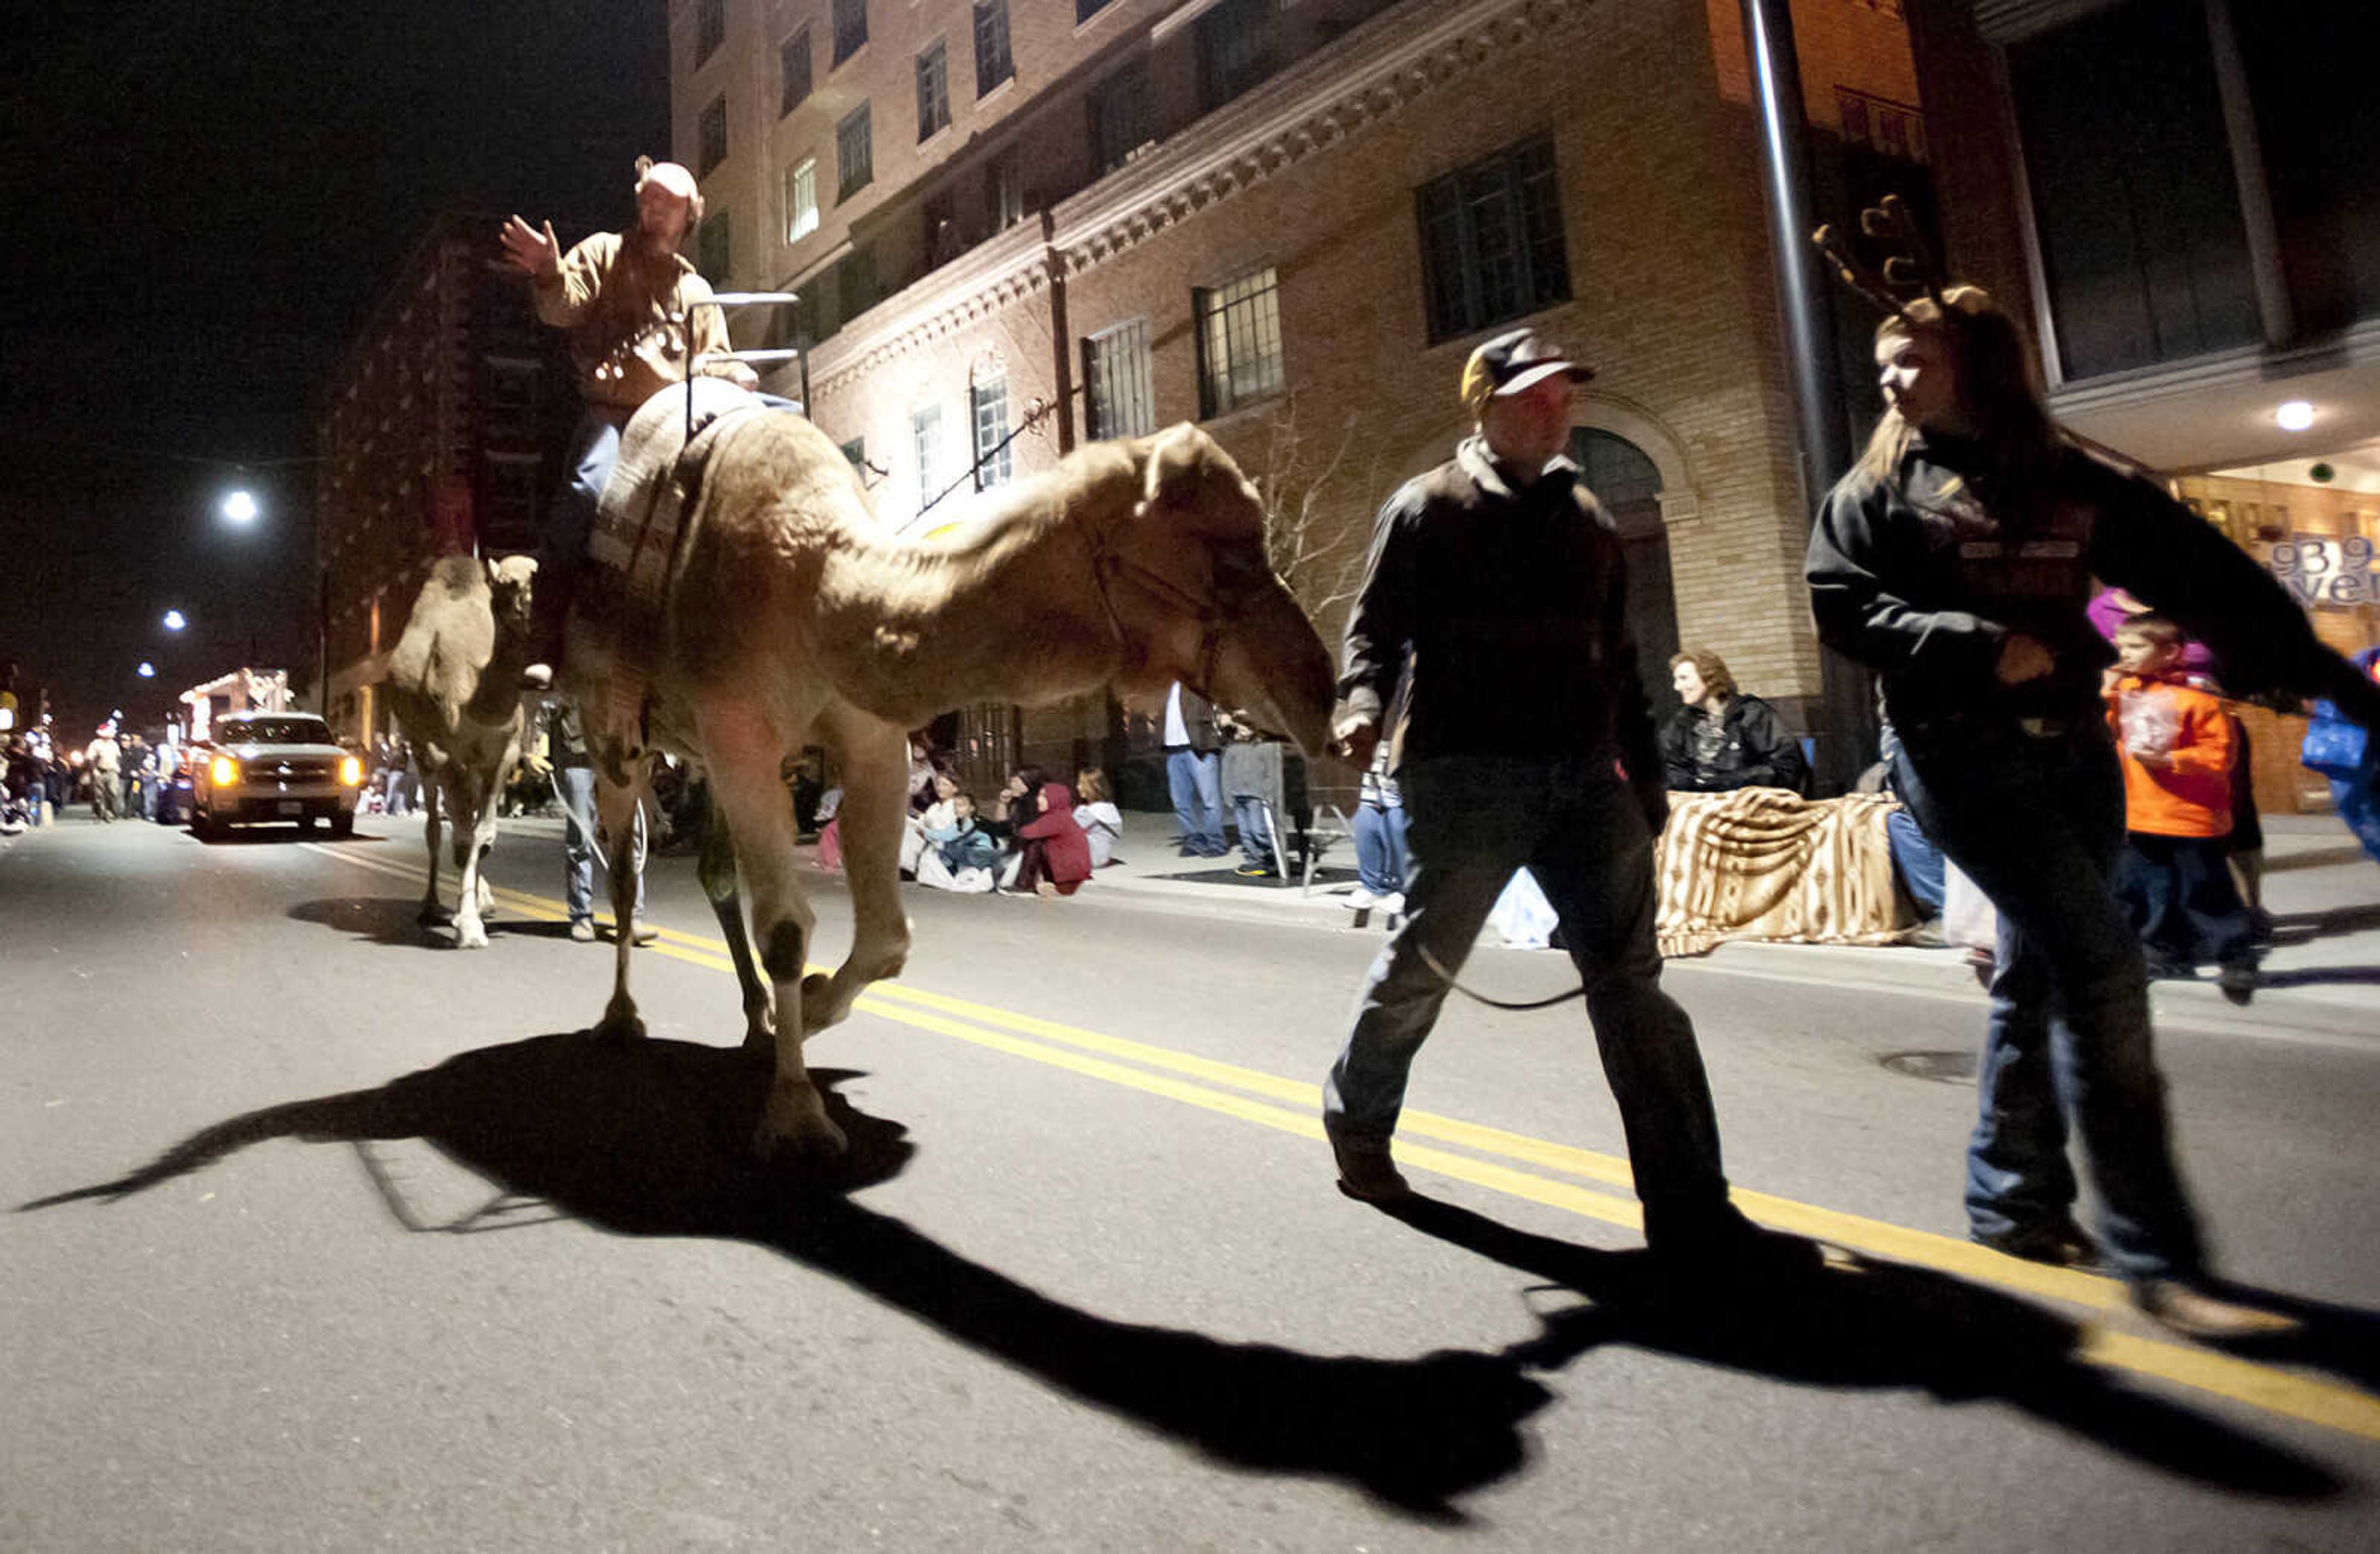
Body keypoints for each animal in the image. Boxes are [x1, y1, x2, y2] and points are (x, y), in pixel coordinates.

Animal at [381, 552, 540, 952]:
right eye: (505, 582)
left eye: (534, 576)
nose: (524, 606)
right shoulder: (446, 752)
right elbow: (465, 835)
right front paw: (467, 927)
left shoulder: (502, 755)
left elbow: (483, 836)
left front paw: (475, 912)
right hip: (422, 751)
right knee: (438, 826)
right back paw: (431, 905)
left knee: (467, 823)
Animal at [559, 385, 1342, 1161]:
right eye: (1224, 560)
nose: (1317, 692)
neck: (816, 587)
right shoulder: (740, 728)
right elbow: (784, 927)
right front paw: (797, 1115)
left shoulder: (869, 741)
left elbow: (887, 940)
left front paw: (806, 1006)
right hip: (615, 731)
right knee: (624, 872)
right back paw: (621, 1017)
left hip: (701, 756)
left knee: (717, 872)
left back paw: (755, 1022)